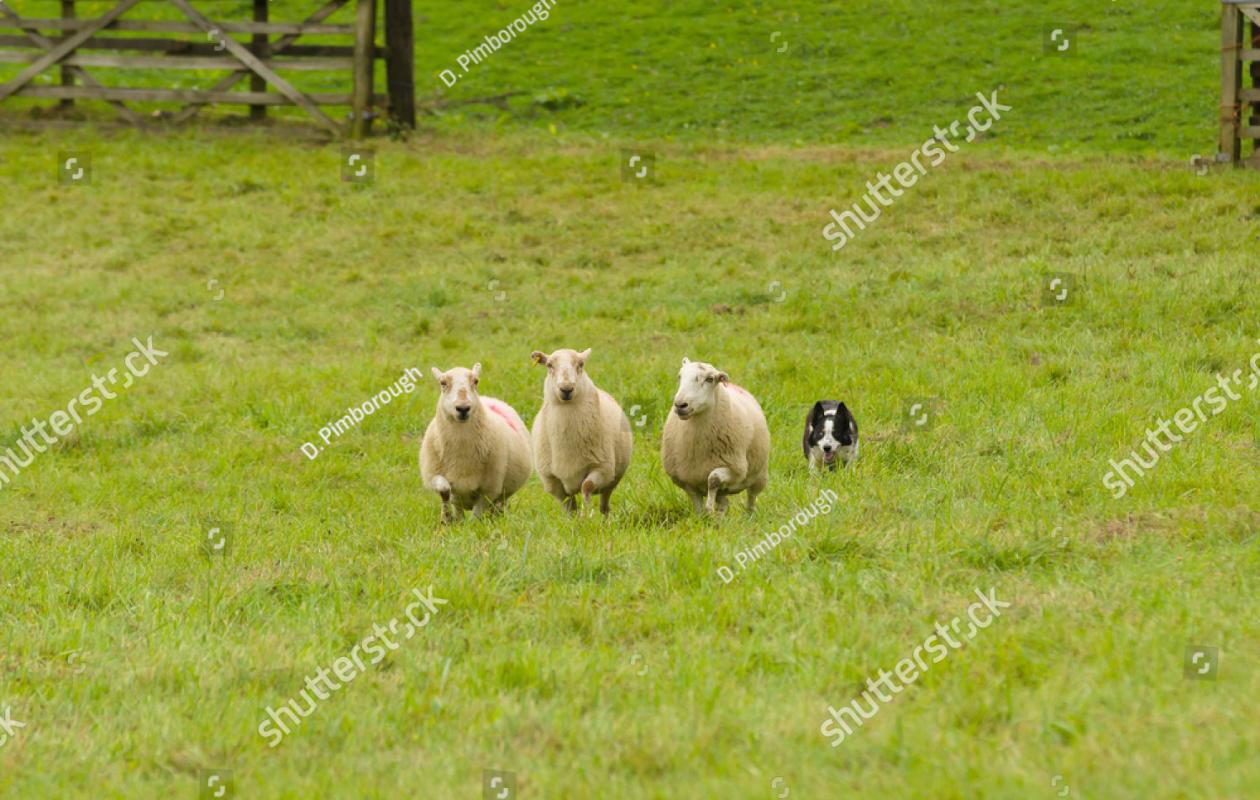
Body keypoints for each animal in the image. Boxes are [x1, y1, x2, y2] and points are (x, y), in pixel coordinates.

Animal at [420, 363, 532, 522]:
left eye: (476, 381)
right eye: (443, 383)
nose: (463, 408)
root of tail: (489, 398)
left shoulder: (489, 488)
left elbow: (476, 516)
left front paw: (472, 526)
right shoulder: (433, 474)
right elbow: (444, 490)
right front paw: (446, 519)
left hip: (502, 492)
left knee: (497, 505)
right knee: (458, 505)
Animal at [528, 348, 633, 515]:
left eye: (581, 364)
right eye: (549, 365)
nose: (566, 389)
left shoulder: (602, 469)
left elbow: (587, 486)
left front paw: (587, 507)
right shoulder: (552, 480)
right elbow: (569, 508)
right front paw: (575, 520)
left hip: (612, 479)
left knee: (604, 503)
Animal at [661, 358, 770, 515]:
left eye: (710, 379)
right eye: (680, 376)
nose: (680, 405)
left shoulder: (735, 470)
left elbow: (713, 478)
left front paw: (709, 507)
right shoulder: (687, 480)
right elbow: (697, 505)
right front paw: (702, 517)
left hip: (759, 475)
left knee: (751, 497)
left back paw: (750, 514)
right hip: (724, 489)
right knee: (724, 503)